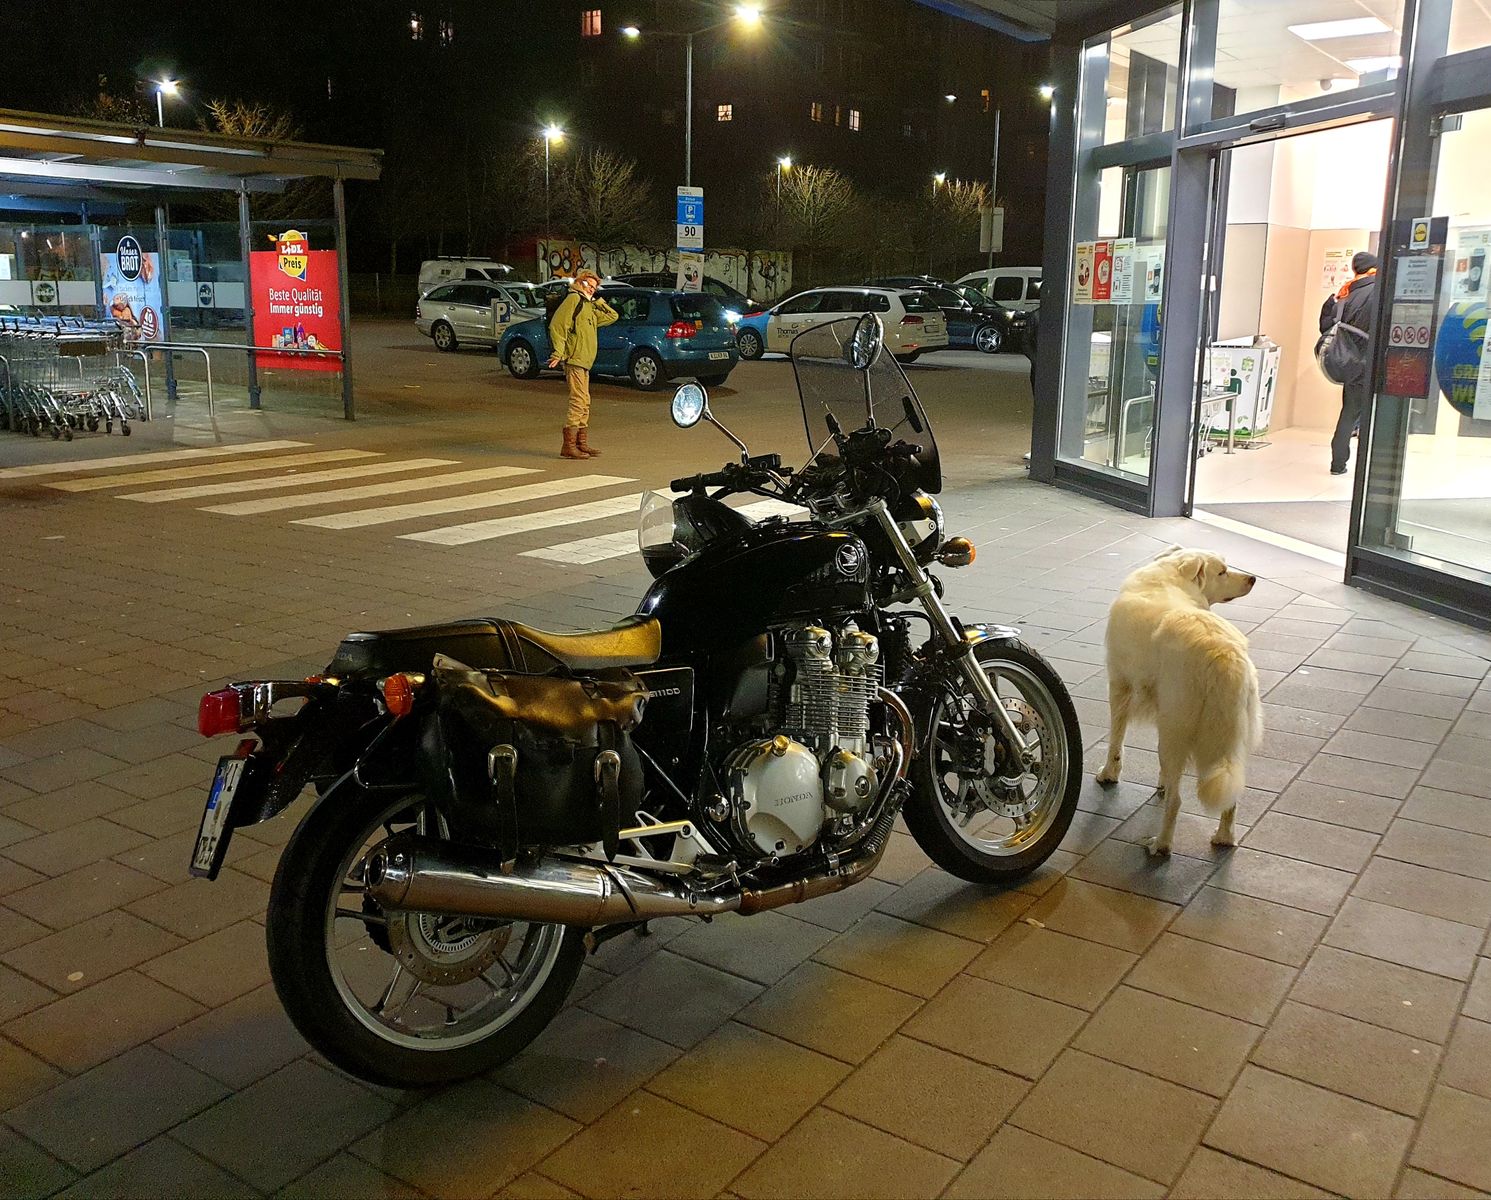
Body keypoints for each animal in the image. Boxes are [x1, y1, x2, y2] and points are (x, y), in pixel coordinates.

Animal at [1096, 547, 1263, 855]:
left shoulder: (1120, 685)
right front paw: (1160, 781)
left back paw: (1160, 845)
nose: (1253, 579)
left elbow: (1116, 739)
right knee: (1231, 795)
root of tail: (1224, 655)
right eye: (1222, 571)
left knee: (1176, 801)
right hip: (1229, 741)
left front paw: (1109, 774)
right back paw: (1224, 838)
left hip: (1175, 729)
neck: (1169, 576)